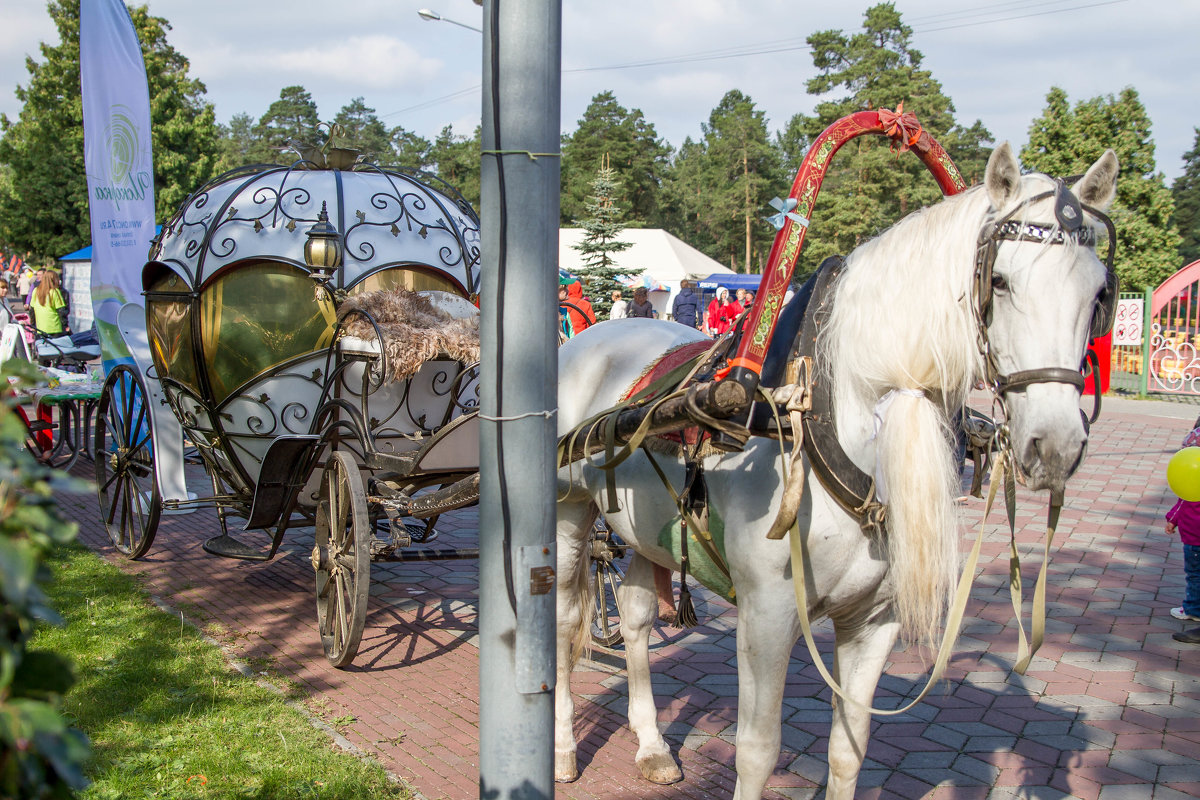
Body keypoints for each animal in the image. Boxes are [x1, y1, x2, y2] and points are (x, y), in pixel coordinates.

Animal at [549, 145, 1113, 800]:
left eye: (1098, 294)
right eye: (1000, 281)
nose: (1056, 445)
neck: (821, 414)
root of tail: (594, 333)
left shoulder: (875, 621)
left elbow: (848, 748)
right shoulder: (768, 614)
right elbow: (757, 751)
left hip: (647, 528)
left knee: (638, 616)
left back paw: (651, 746)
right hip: (567, 511)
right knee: (564, 621)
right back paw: (562, 749)